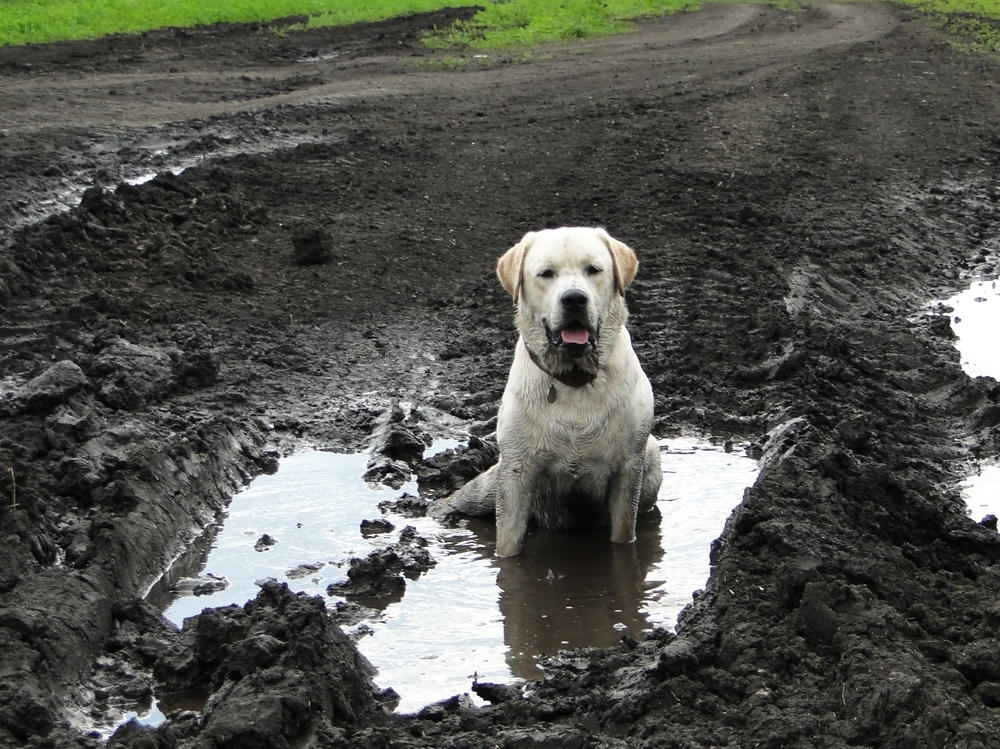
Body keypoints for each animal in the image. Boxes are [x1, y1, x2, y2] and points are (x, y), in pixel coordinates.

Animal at [432, 225, 660, 552]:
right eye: (546, 273)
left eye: (594, 269)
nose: (574, 299)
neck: (574, 377)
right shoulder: (515, 472)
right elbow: (507, 545)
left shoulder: (628, 468)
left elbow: (623, 535)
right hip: (491, 481)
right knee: (466, 497)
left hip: (651, 460)